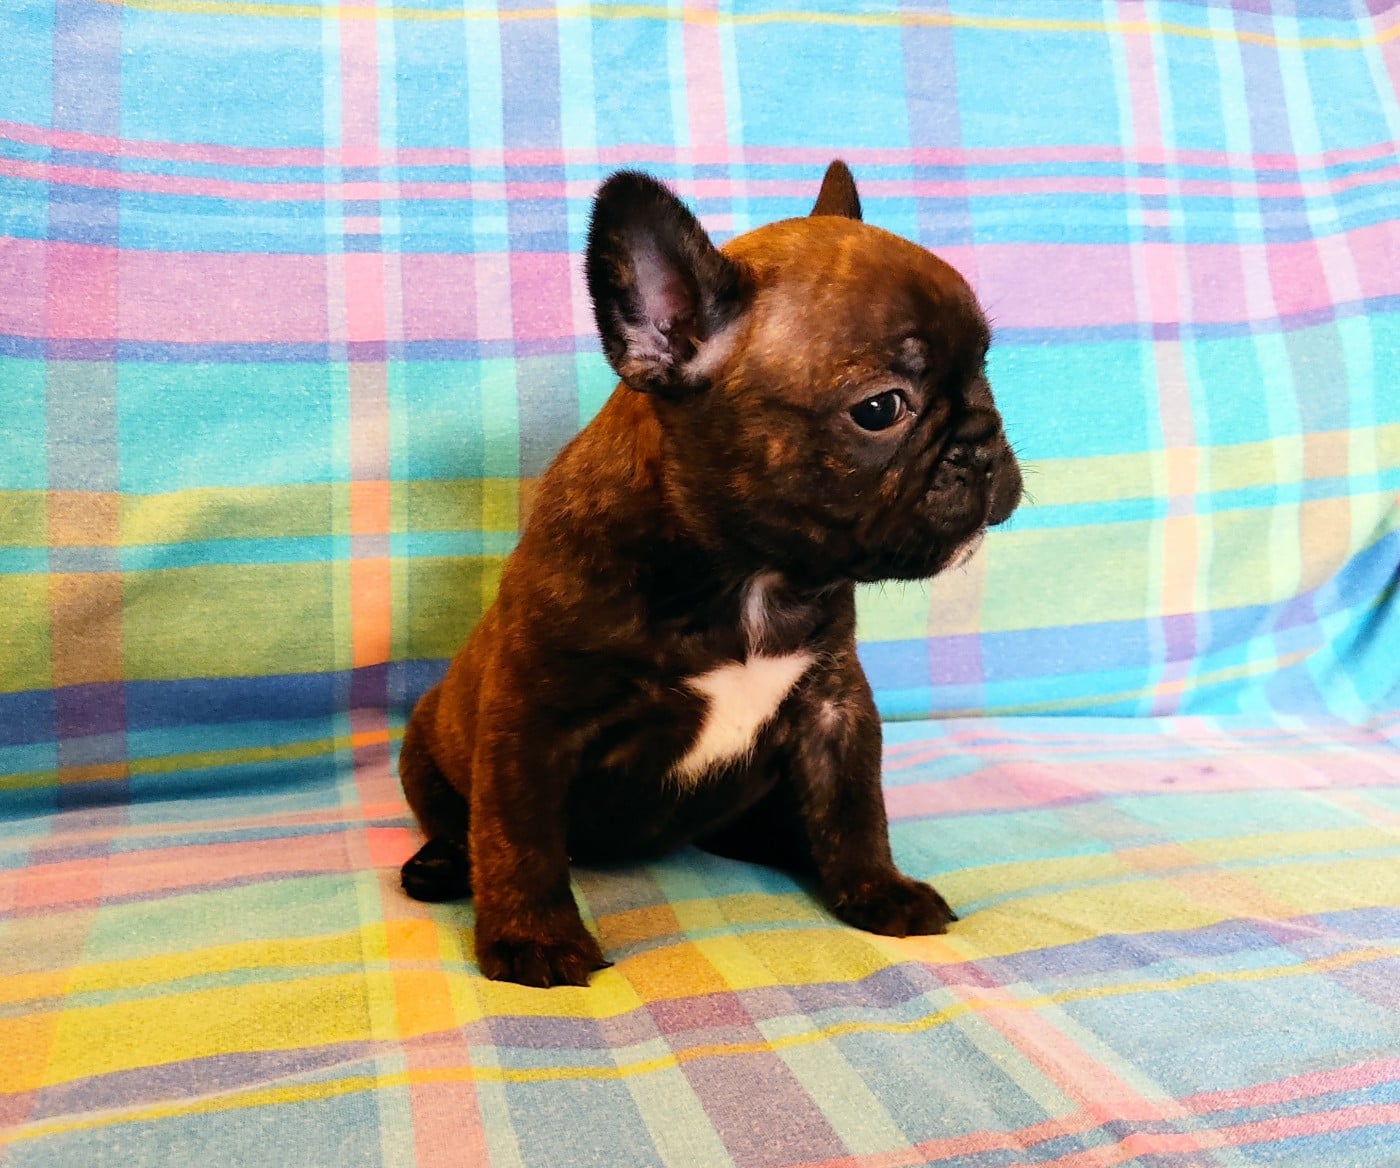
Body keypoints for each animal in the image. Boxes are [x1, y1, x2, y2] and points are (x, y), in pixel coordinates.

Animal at [398, 162, 1022, 987]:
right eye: (881, 408)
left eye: (984, 371)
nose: (982, 441)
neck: (749, 574)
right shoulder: (530, 720)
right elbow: (517, 837)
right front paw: (533, 938)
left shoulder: (834, 705)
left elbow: (854, 808)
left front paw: (875, 887)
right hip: (424, 744)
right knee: (459, 824)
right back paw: (442, 864)